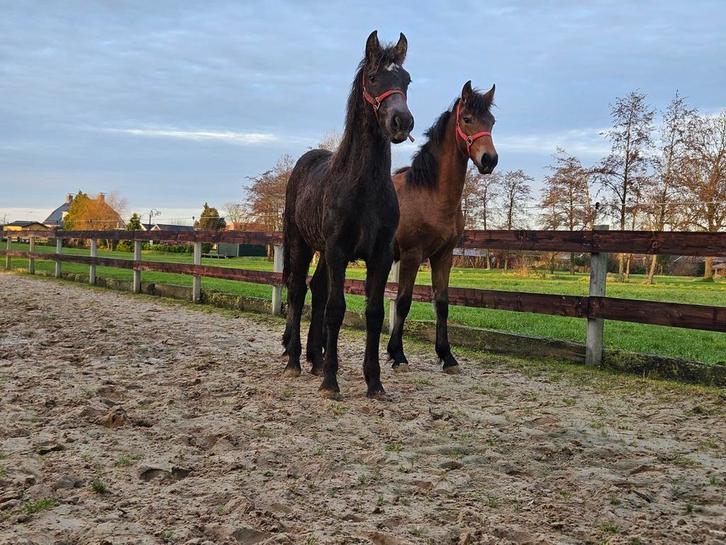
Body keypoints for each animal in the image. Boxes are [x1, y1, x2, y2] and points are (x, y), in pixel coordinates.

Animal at [281, 31, 414, 399]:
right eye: (373, 78)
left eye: (407, 80)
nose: (402, 122)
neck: (362, 185)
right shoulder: (339, 251)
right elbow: (336, 310)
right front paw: (330, 381)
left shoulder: (380, 255)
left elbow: (374, 313)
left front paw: (374, 382)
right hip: (302, 245)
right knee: (297, 291)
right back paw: (296, 360)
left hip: (323, 253)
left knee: (316, 288)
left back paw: (314, 358)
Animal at [386, 81, 497, 373]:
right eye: (467, 119)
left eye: (492, 121)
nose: (489, 160)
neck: (430, 194)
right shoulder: (412, 255)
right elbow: (403, 302)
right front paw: (397, 355)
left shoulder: (443, 256)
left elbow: (442, 304)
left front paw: (447, 356)